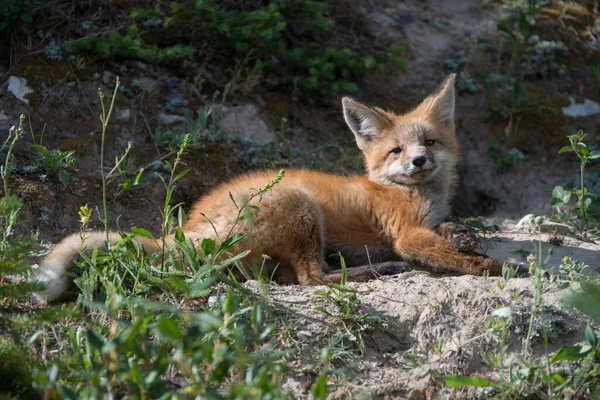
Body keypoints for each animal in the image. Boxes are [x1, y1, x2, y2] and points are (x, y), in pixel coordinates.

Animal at [32, 73, 524, 302]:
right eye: (396, 151)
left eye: (431, 142)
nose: (419, 161)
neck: (412, 193)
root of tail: (189, 227)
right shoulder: (407, 235)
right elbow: (469, 263)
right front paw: (509, 269)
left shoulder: (426, 226)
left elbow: (453, 237)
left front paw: (464, 234)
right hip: (300, 206)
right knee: (313, 278)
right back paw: (377, 270)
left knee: (280, 276)